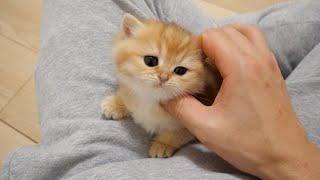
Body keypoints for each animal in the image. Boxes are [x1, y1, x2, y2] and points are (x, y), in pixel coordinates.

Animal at [102, 13, 220, 158]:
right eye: (150, 61)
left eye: (180, 70)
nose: (163, 77)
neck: (149, 101)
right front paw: (116, 103)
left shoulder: (192, 126)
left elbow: (176, 135)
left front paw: (162, 145)